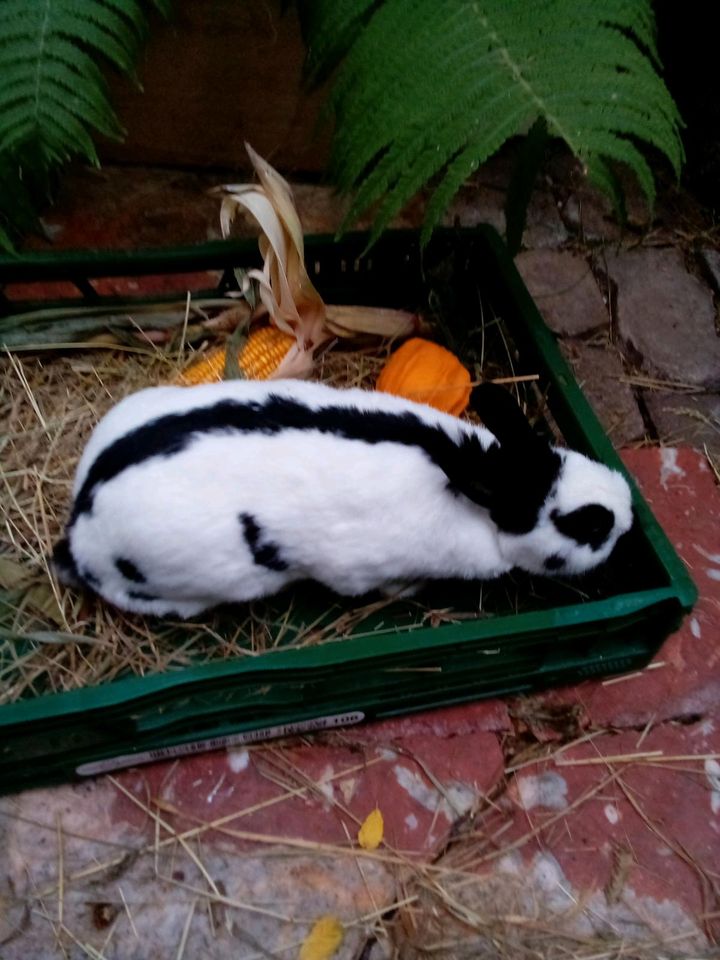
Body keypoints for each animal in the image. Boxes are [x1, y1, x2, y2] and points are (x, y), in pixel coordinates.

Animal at [53, 378, 632, 620]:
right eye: (584, 523)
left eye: (560, 455)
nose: (627, 512)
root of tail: (80, 523)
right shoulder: (362, 569)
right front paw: (409, 590)